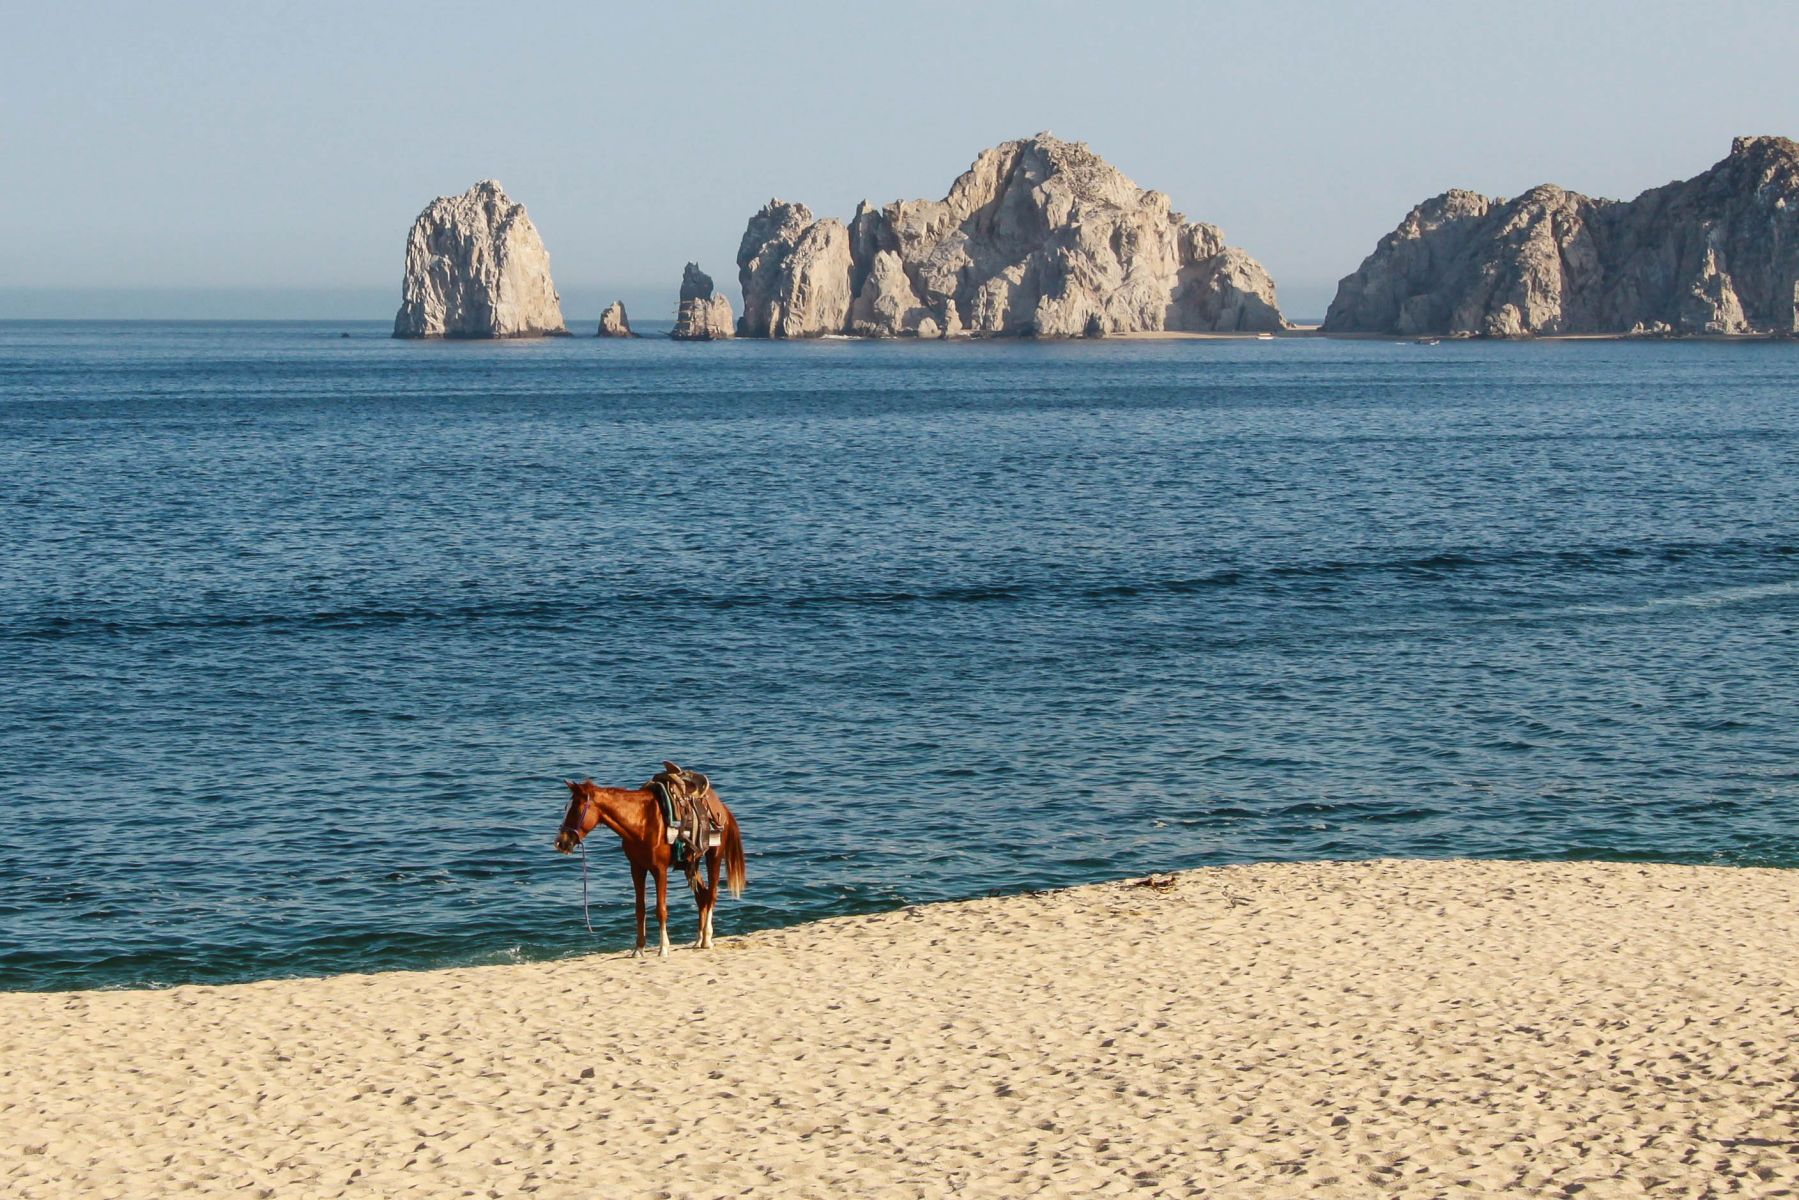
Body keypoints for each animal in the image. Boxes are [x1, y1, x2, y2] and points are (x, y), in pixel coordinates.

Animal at [554, 775, 746, 957]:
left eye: (576, 809)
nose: (560, 842)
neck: (642, 822)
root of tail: (722, 808)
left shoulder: (659, 870)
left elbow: (661, 910)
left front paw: (664, 948)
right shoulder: (637, 868)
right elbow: (640, 909)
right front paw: (638, 949)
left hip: (714, 857)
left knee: (712, 894)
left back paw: (706, 938)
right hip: (691, 864)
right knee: (702, 896)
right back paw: (698, 939)